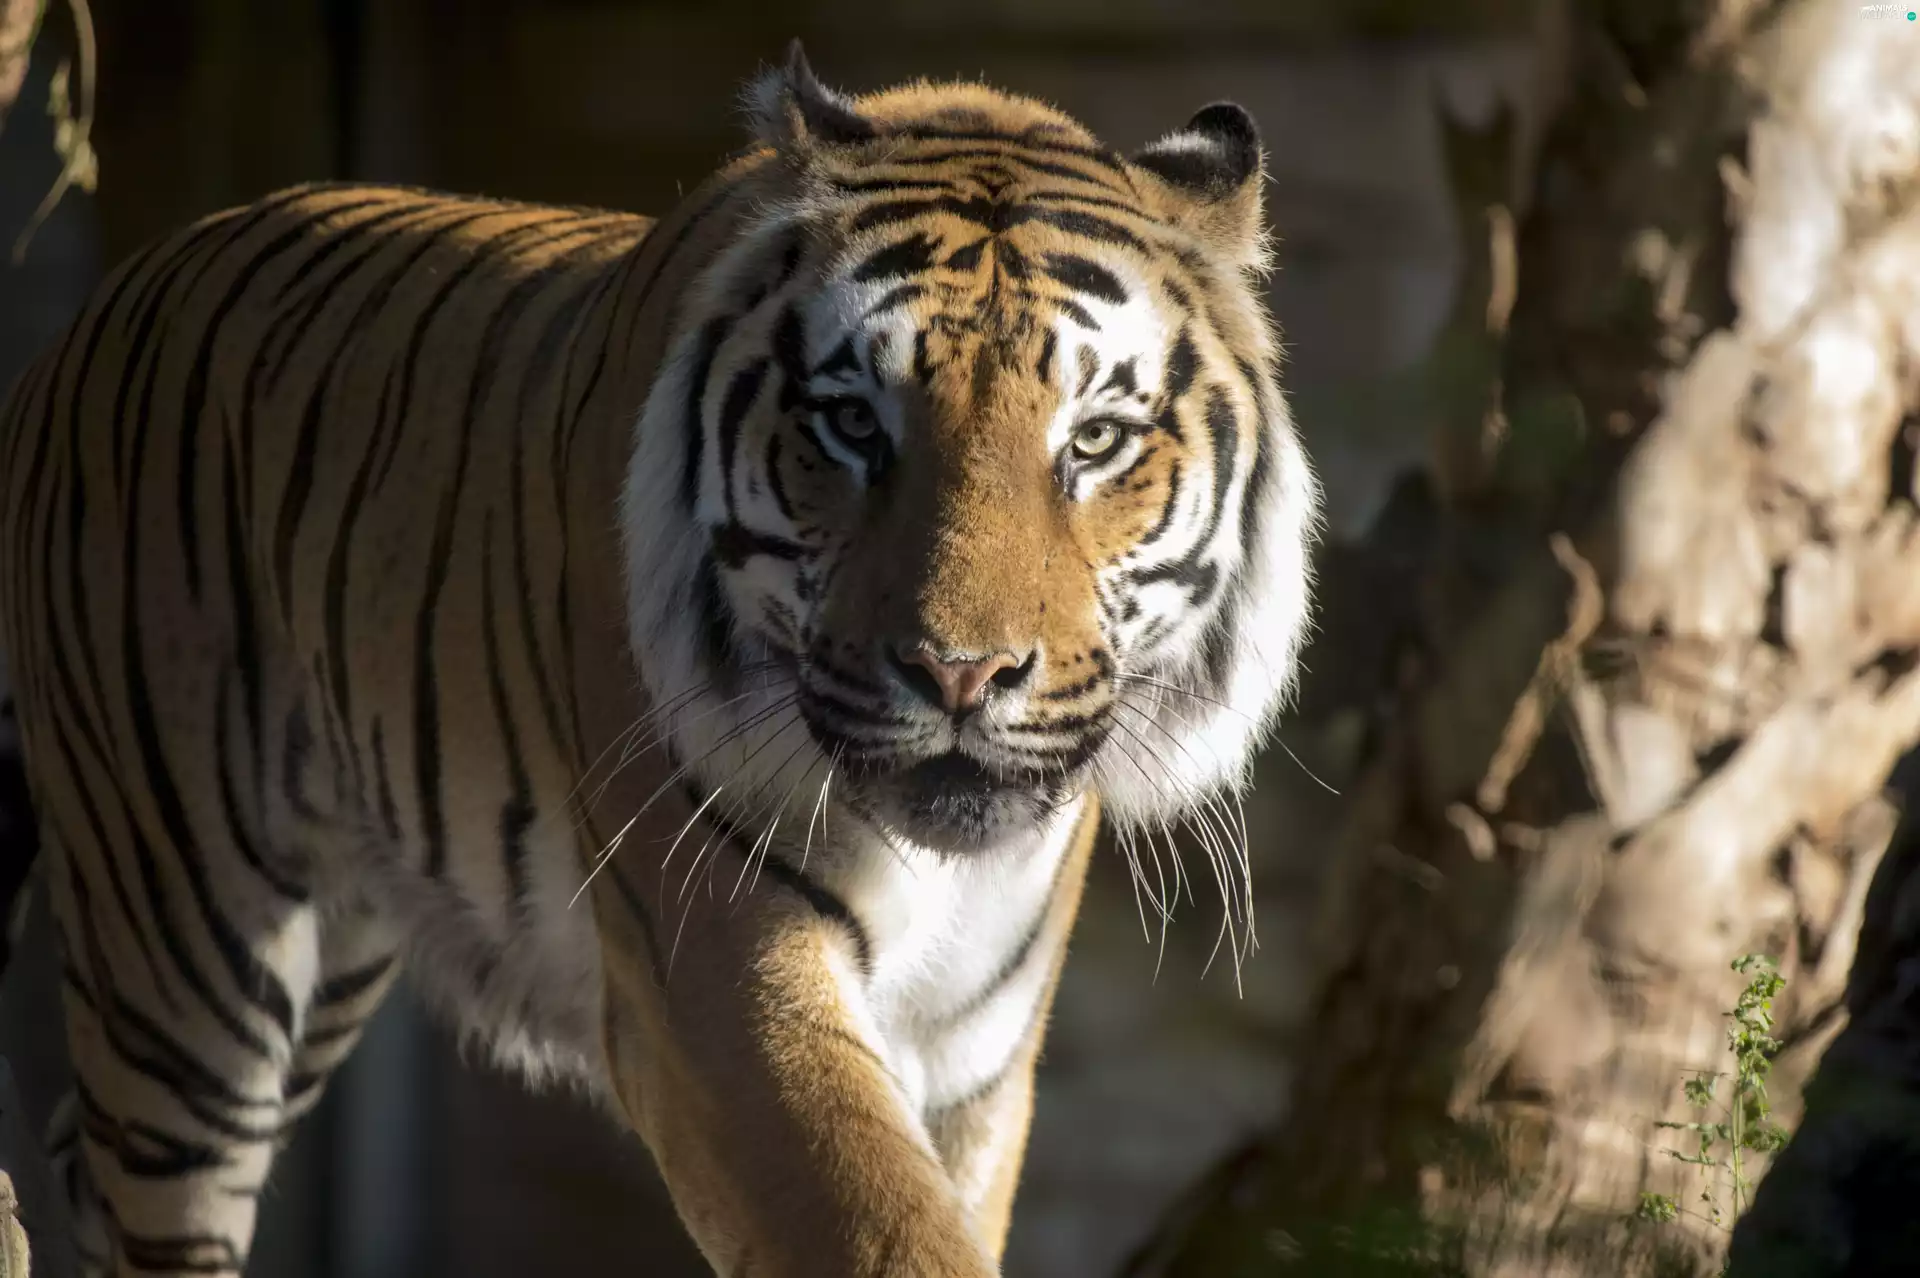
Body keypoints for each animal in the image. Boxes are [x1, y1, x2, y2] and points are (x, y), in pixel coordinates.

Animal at [0, 41, 1319, 1278]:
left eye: (1093, 440)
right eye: (855, 423)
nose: (960, 673)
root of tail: (109, 301)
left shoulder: (976, 1060)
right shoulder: (720, 973)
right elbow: (882, 1231)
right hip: (186, 927)